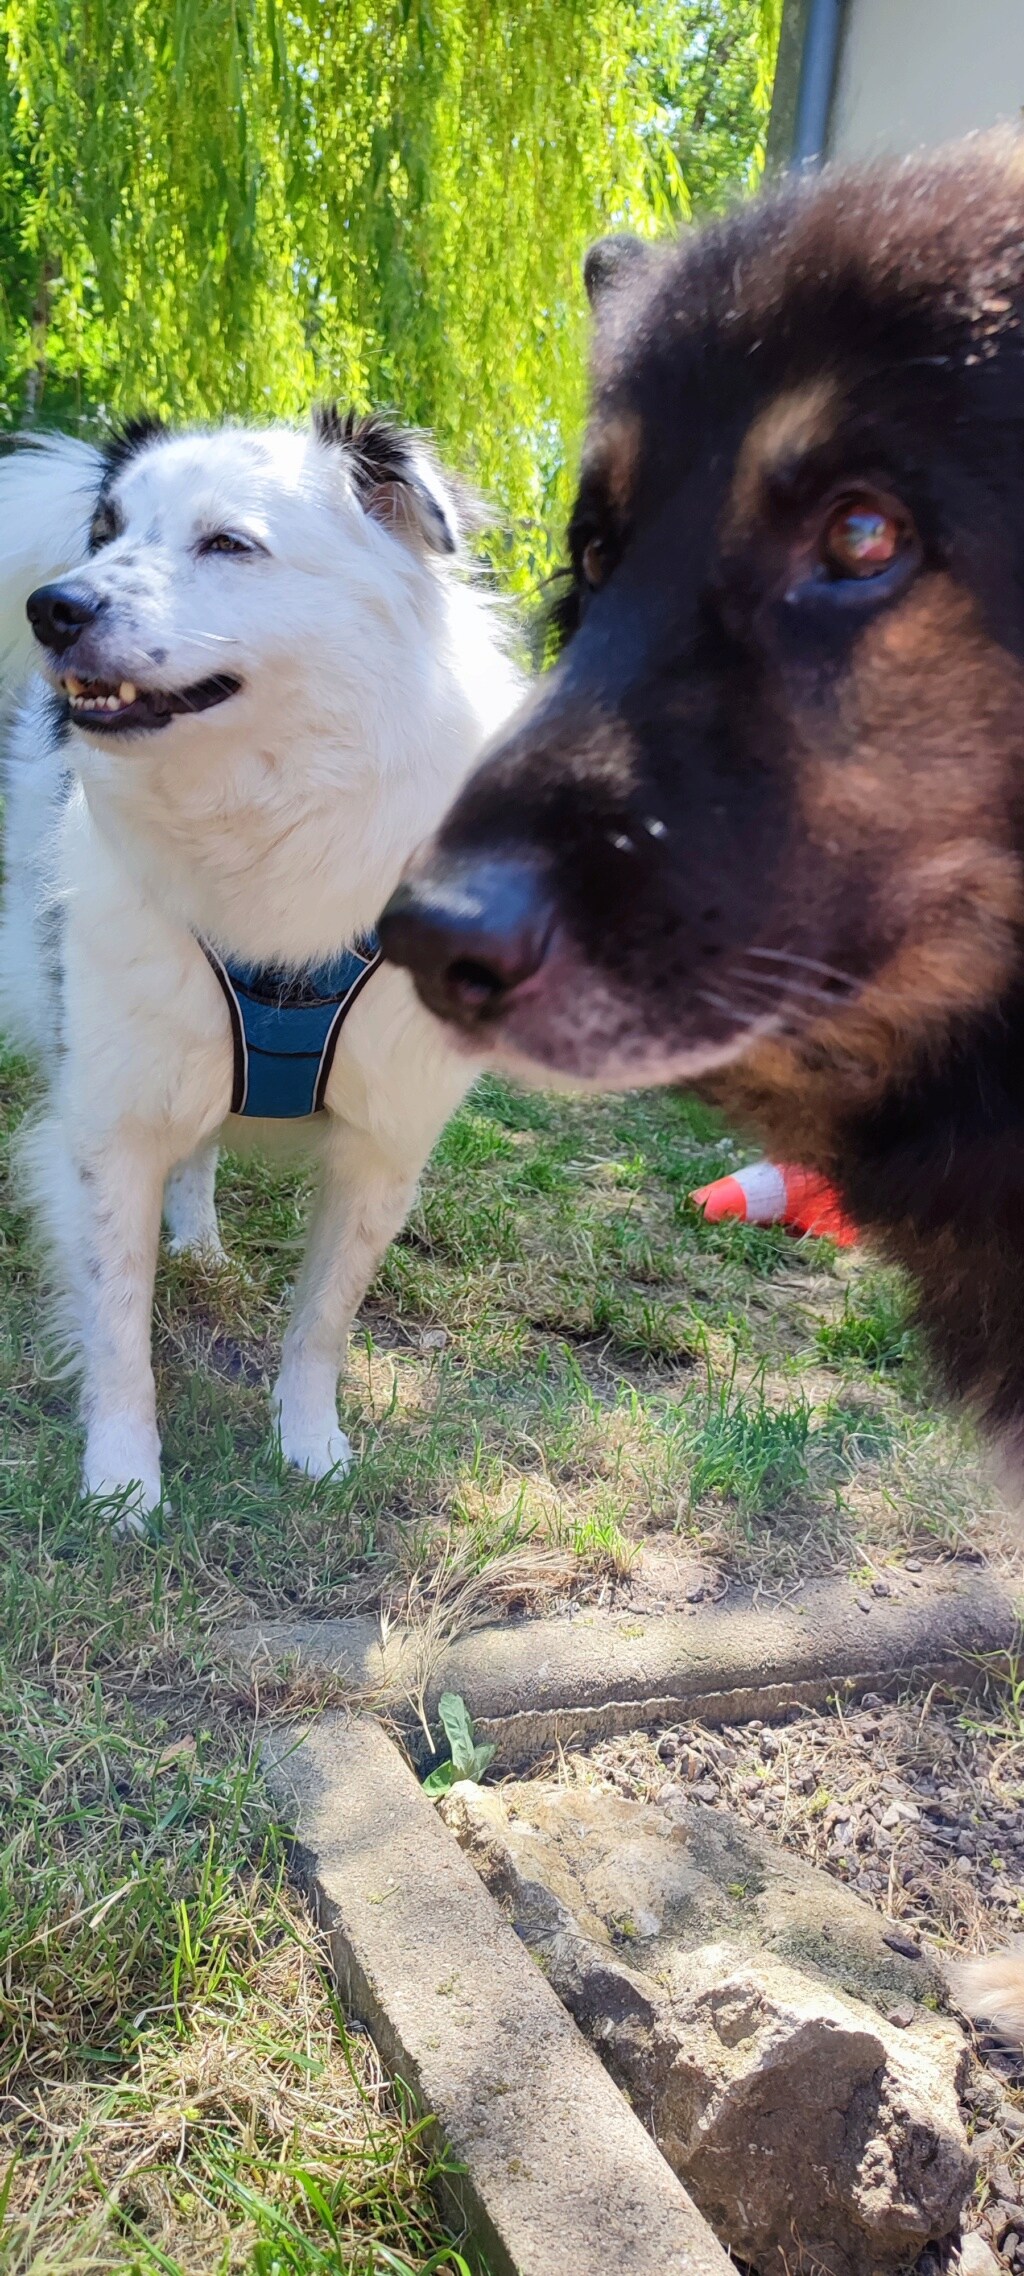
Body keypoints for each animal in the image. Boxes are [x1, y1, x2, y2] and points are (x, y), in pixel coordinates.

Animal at [0, 411, 521, 1529]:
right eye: (107, 532)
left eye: (228, 544)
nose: (54, 606)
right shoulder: (110, 1113)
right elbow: (117, 1321)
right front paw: (123, 1483)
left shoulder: (385, 1142)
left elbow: (325, 1316)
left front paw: (311, 1443)